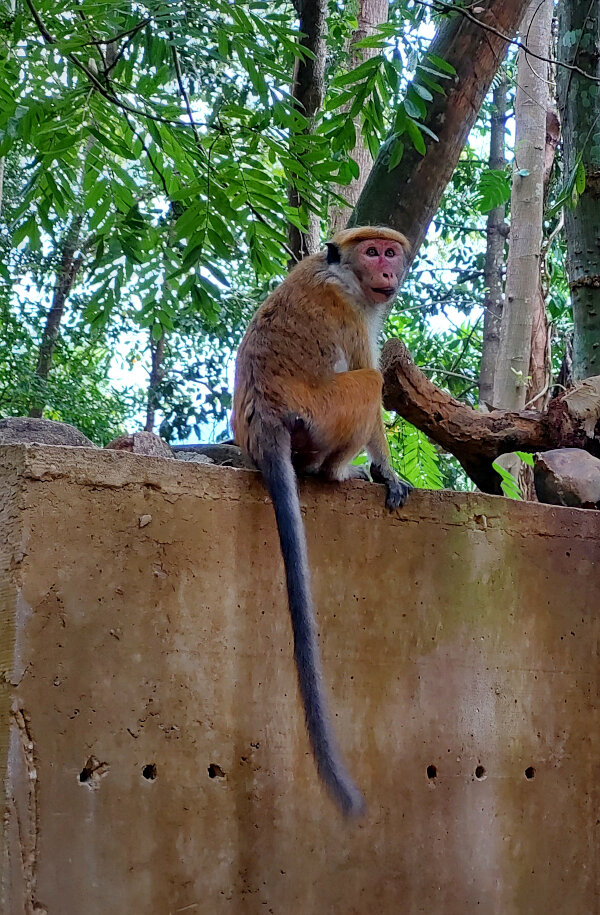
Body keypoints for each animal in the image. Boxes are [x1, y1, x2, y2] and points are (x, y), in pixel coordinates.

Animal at [232, 226, 412, 816]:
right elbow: (370, 378)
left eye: (390, 251)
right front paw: (387, 470)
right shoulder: (352, 312)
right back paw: (337, 472)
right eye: (373, 251)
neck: (339, 270)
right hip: (323, 415)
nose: (388, 269)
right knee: (368, 382)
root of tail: (264, 417)